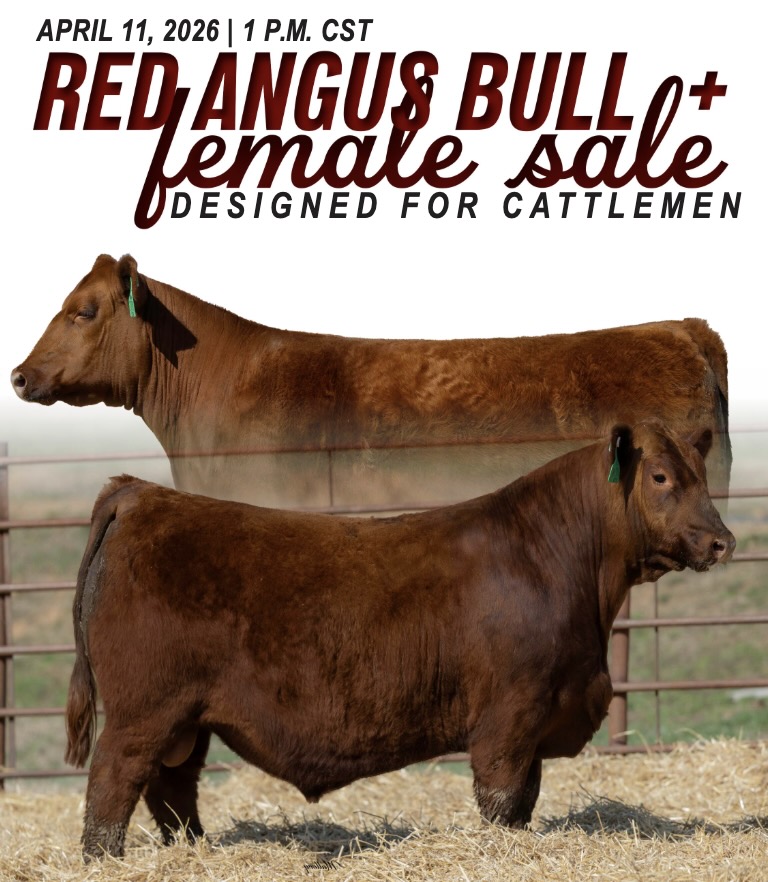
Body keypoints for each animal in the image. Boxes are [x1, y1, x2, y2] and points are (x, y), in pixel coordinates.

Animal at [65, 419, 734, 860]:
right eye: (661, 476)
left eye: (701, 475)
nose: (722, 541)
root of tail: (140, 494)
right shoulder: (509, 717)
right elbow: (502, 799)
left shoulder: (540, 720)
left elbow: (525, 802)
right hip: (144, 710)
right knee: (113, 784)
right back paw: (106, 860)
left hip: (186, 719)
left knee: (173, 789)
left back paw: (196, 852)